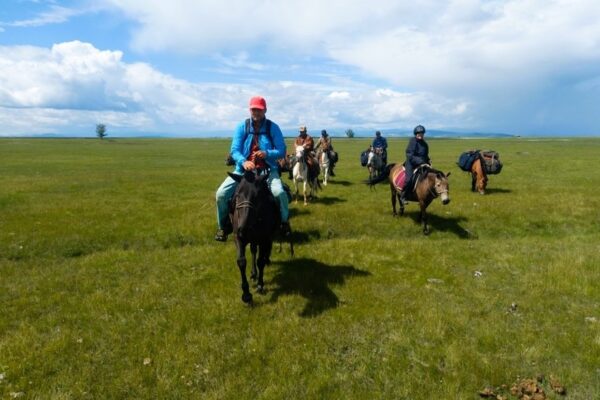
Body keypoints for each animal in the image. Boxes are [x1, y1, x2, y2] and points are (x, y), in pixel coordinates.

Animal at [229, 170, 280, 304]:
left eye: (257, 196)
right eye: (237, 195)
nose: (244, 229)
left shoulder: (264, 239)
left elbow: (260, 261)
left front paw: (260, 285)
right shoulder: (238, 238)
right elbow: (241, 261)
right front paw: (246, 294)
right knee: (253, 250)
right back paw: (253, 273)